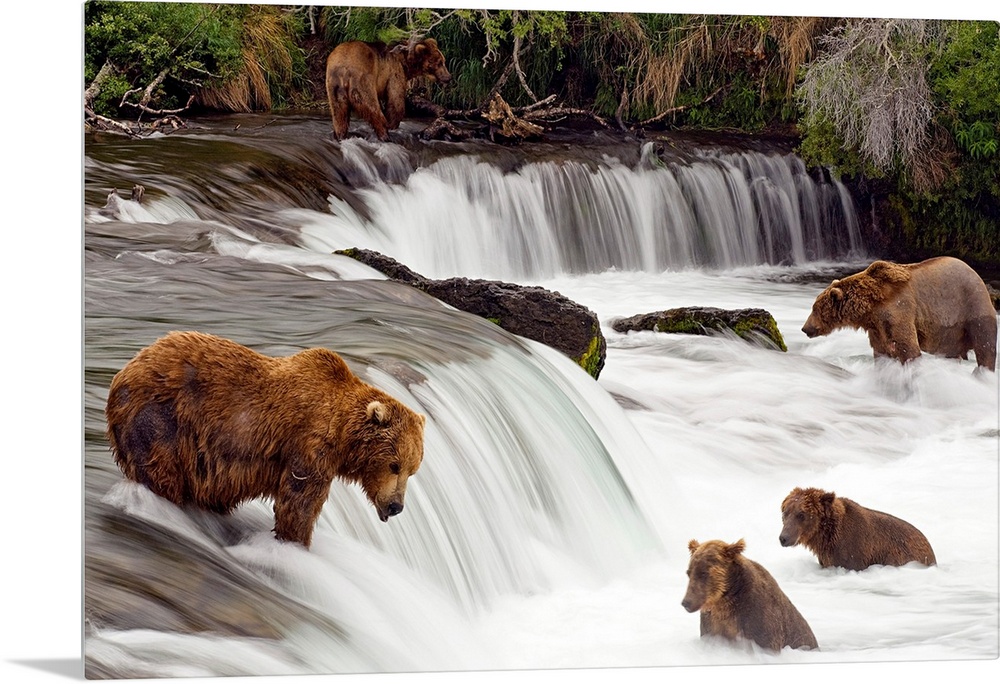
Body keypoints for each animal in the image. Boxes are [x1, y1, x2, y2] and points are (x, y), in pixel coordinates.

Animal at [105, 331, 426, 548]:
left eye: (412, 470)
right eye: (394, 465)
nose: (396, 506)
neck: (342, 432)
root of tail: (123, 371)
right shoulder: (308, 445)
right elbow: (299, 503)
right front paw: (296, 543)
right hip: (161, 418)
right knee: (161, 469)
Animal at [801, 256, 997, 371]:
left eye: (814, 308)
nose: (805, 328)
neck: (871, 308)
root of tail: (976, 274)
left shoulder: (898, 310)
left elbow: (907, 347)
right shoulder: (877, 327)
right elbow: (881, 351)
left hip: (972, 304)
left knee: (985, 344)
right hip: (951, 332)